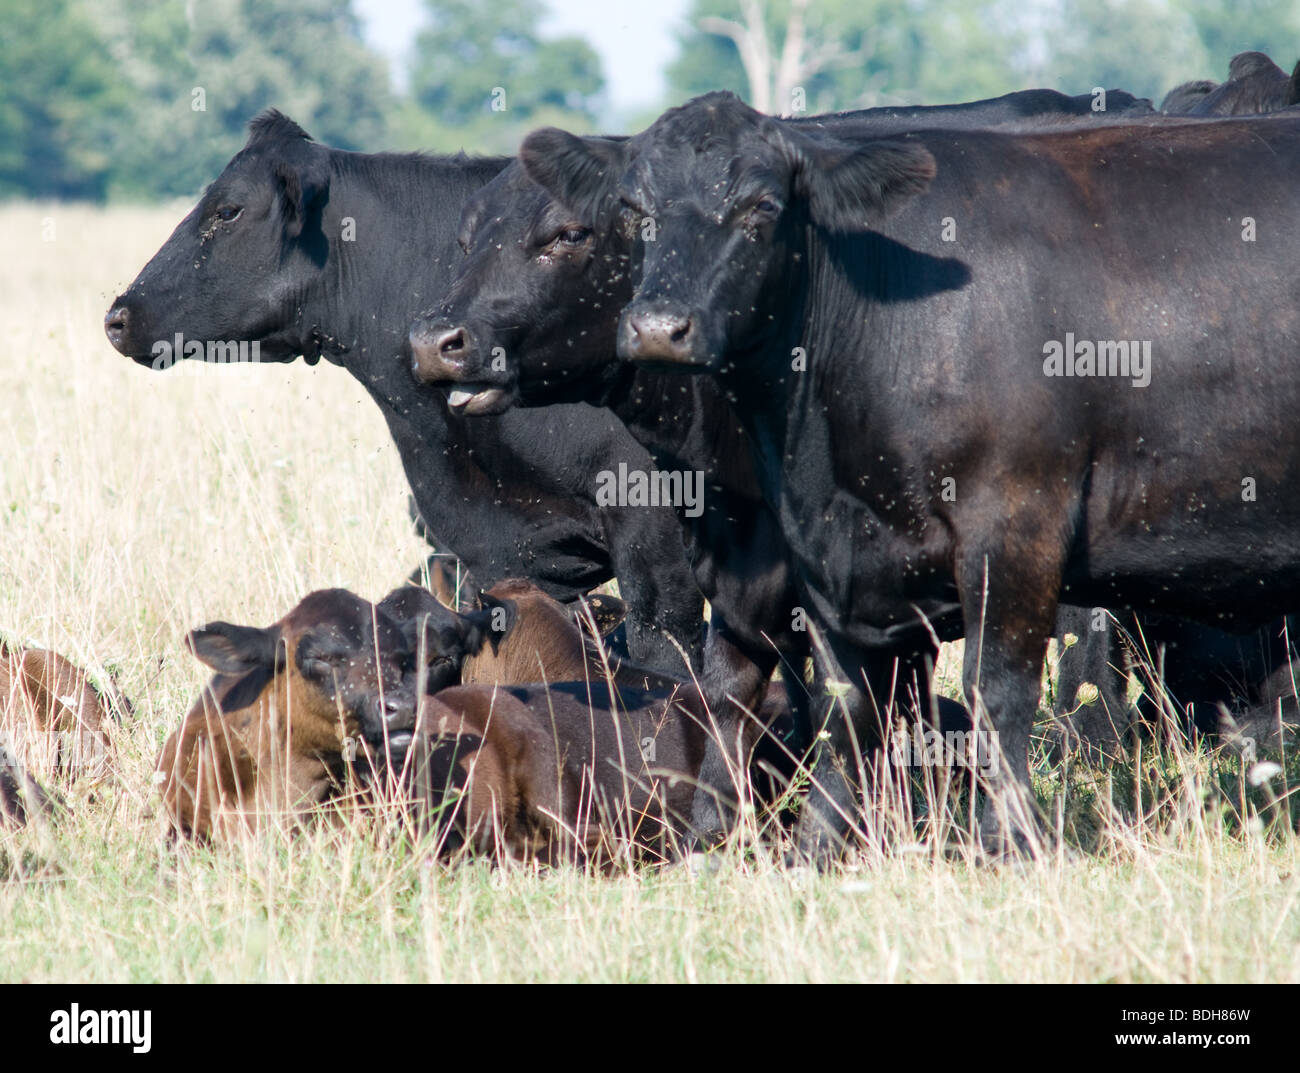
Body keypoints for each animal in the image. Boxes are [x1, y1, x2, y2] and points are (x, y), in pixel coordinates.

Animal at [522, 94, 1300, 863]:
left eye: (762, 207)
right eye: (634, 210)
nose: (658, 327)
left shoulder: (1016, 526)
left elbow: (997, 692)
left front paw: (1005, 843)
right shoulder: (832, 563)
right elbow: (846, 707)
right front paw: (816, 849)